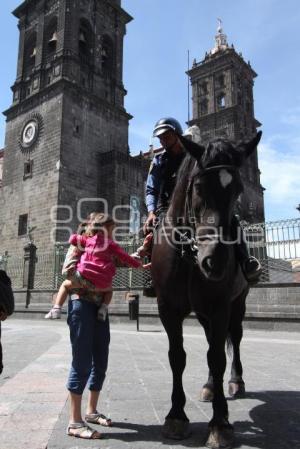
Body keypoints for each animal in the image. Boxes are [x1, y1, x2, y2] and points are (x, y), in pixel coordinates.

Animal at [151, 131, 262, 446]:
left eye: (238, 189)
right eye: (198, 187)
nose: (216, 261)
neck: (189, 255)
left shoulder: (220, 306)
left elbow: (217, 356)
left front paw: (220, 423)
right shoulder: (168, 308)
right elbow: (177, 357)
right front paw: (176, 416)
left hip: (238, 304)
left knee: (233, 340)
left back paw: (235, 382)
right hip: (202, 314)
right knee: (213, 341)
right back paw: (211, 386)